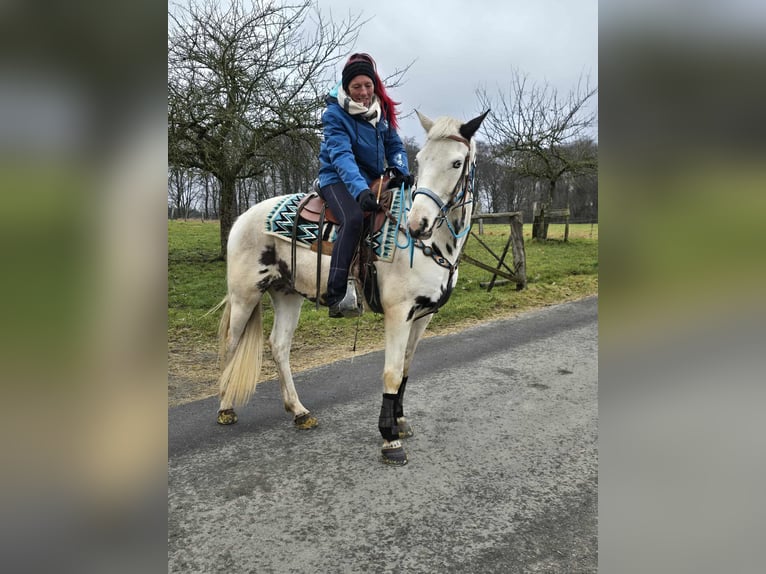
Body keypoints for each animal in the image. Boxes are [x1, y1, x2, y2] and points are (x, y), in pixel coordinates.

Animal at [215, 109, 489, 465]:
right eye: (420, 159)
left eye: (456, 163)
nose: (418, 224)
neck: (431, 244)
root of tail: (243, 217)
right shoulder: (398, 313)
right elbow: (391, 372)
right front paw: (389, 439)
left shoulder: (423, 315)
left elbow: (405, 367)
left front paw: (400, 422)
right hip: (245, 295)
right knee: (231, 344)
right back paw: (225, 407)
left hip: (287, 295)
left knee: (278, 346)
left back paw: (299, 411)